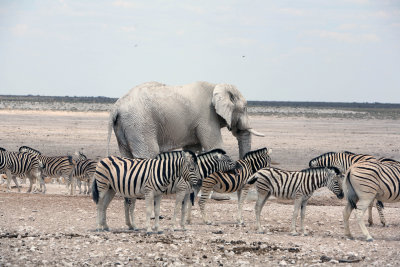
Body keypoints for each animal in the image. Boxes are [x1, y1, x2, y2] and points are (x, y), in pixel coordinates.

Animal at [106, 81, 264, 159]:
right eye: (245, 108)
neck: (217, 86)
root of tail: (116, 107)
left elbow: (192, 149)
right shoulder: (207, 117)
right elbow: (215, 146)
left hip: (124, 124)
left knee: (126, 154)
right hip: (139, 123)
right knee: (148, 152)